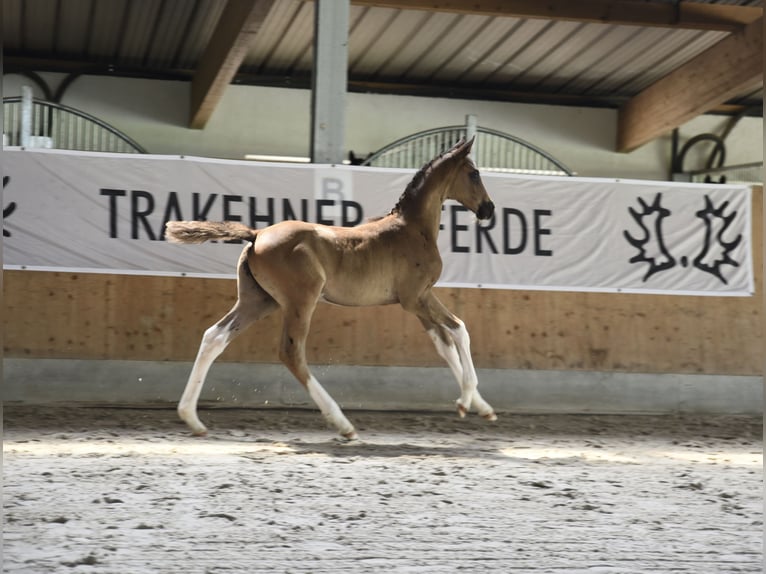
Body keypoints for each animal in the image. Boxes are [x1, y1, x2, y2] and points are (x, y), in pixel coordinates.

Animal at [167, 138, 498, 440]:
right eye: (474, 173)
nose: (489, 209)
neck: (413, 230)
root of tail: (256, 234)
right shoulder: (416, 298)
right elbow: (459, 329)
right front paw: (465, 401)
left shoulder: (418, 301)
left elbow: (443, 344)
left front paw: (482, 407)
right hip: (300, 301)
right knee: (291, 352)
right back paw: (342, 423)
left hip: (258, 301)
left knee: (214, 336)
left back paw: (191, 418)